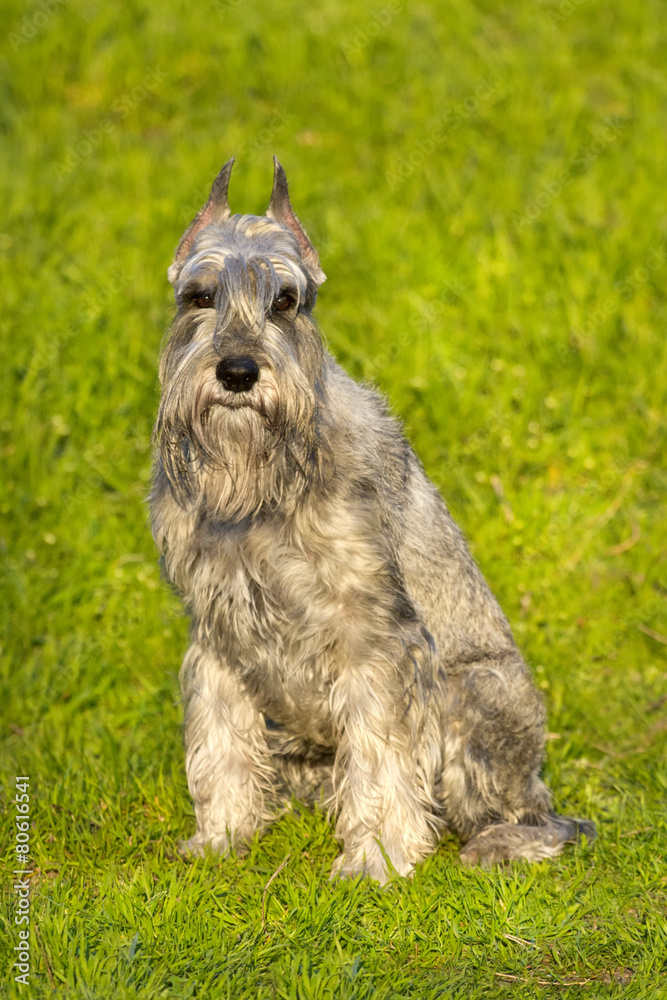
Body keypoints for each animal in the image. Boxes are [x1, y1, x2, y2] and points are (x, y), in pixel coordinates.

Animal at [150, 156, 596, 884]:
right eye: (198, 296)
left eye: (285, 300)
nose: (238, 372)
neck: (257, 486)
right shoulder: (217, 635)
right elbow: (220, 741)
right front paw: (221, 837)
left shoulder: (375, 642)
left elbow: (382, 755)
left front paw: (375, 861)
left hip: (475, 694)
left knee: (530, 816)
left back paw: (498, 844)